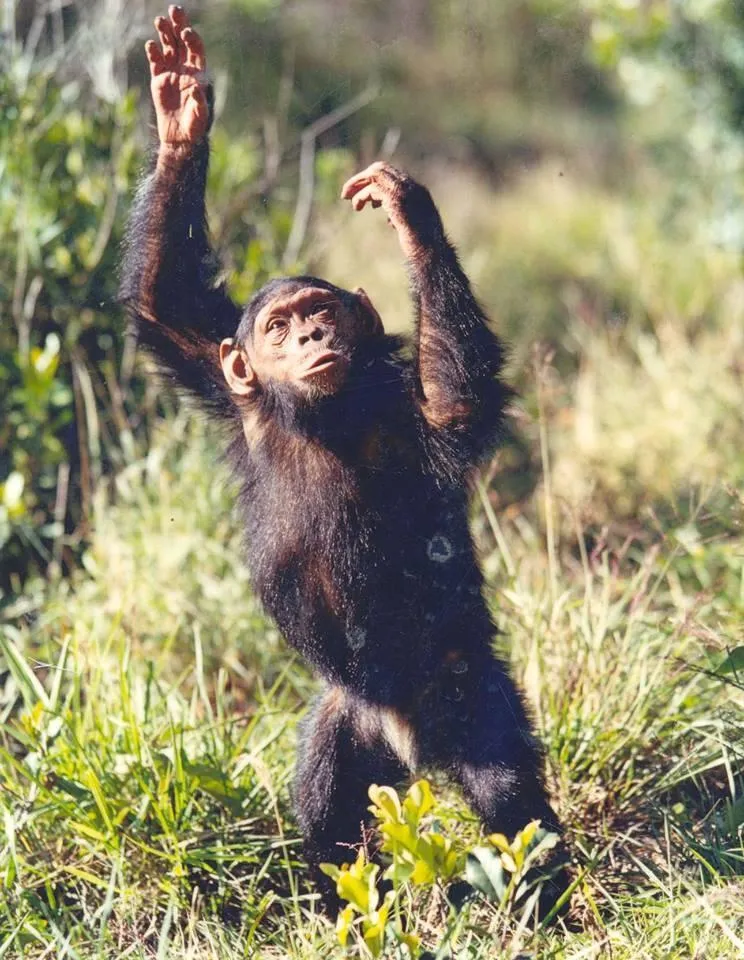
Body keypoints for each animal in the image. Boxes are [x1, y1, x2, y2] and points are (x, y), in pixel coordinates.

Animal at [120, 6, 567, 914]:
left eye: (321, 310)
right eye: (279, 325)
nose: (315, 335)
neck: (318, 418)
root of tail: (412, 741)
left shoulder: (403, 409)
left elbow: (456, 405)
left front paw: (409, 214)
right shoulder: (227, 383)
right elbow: (171, 302)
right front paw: (180, 113)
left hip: (468, 697)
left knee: (509, 793)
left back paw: (548, 902)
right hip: (348, 721)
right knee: (329, 803)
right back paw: (342, 907)